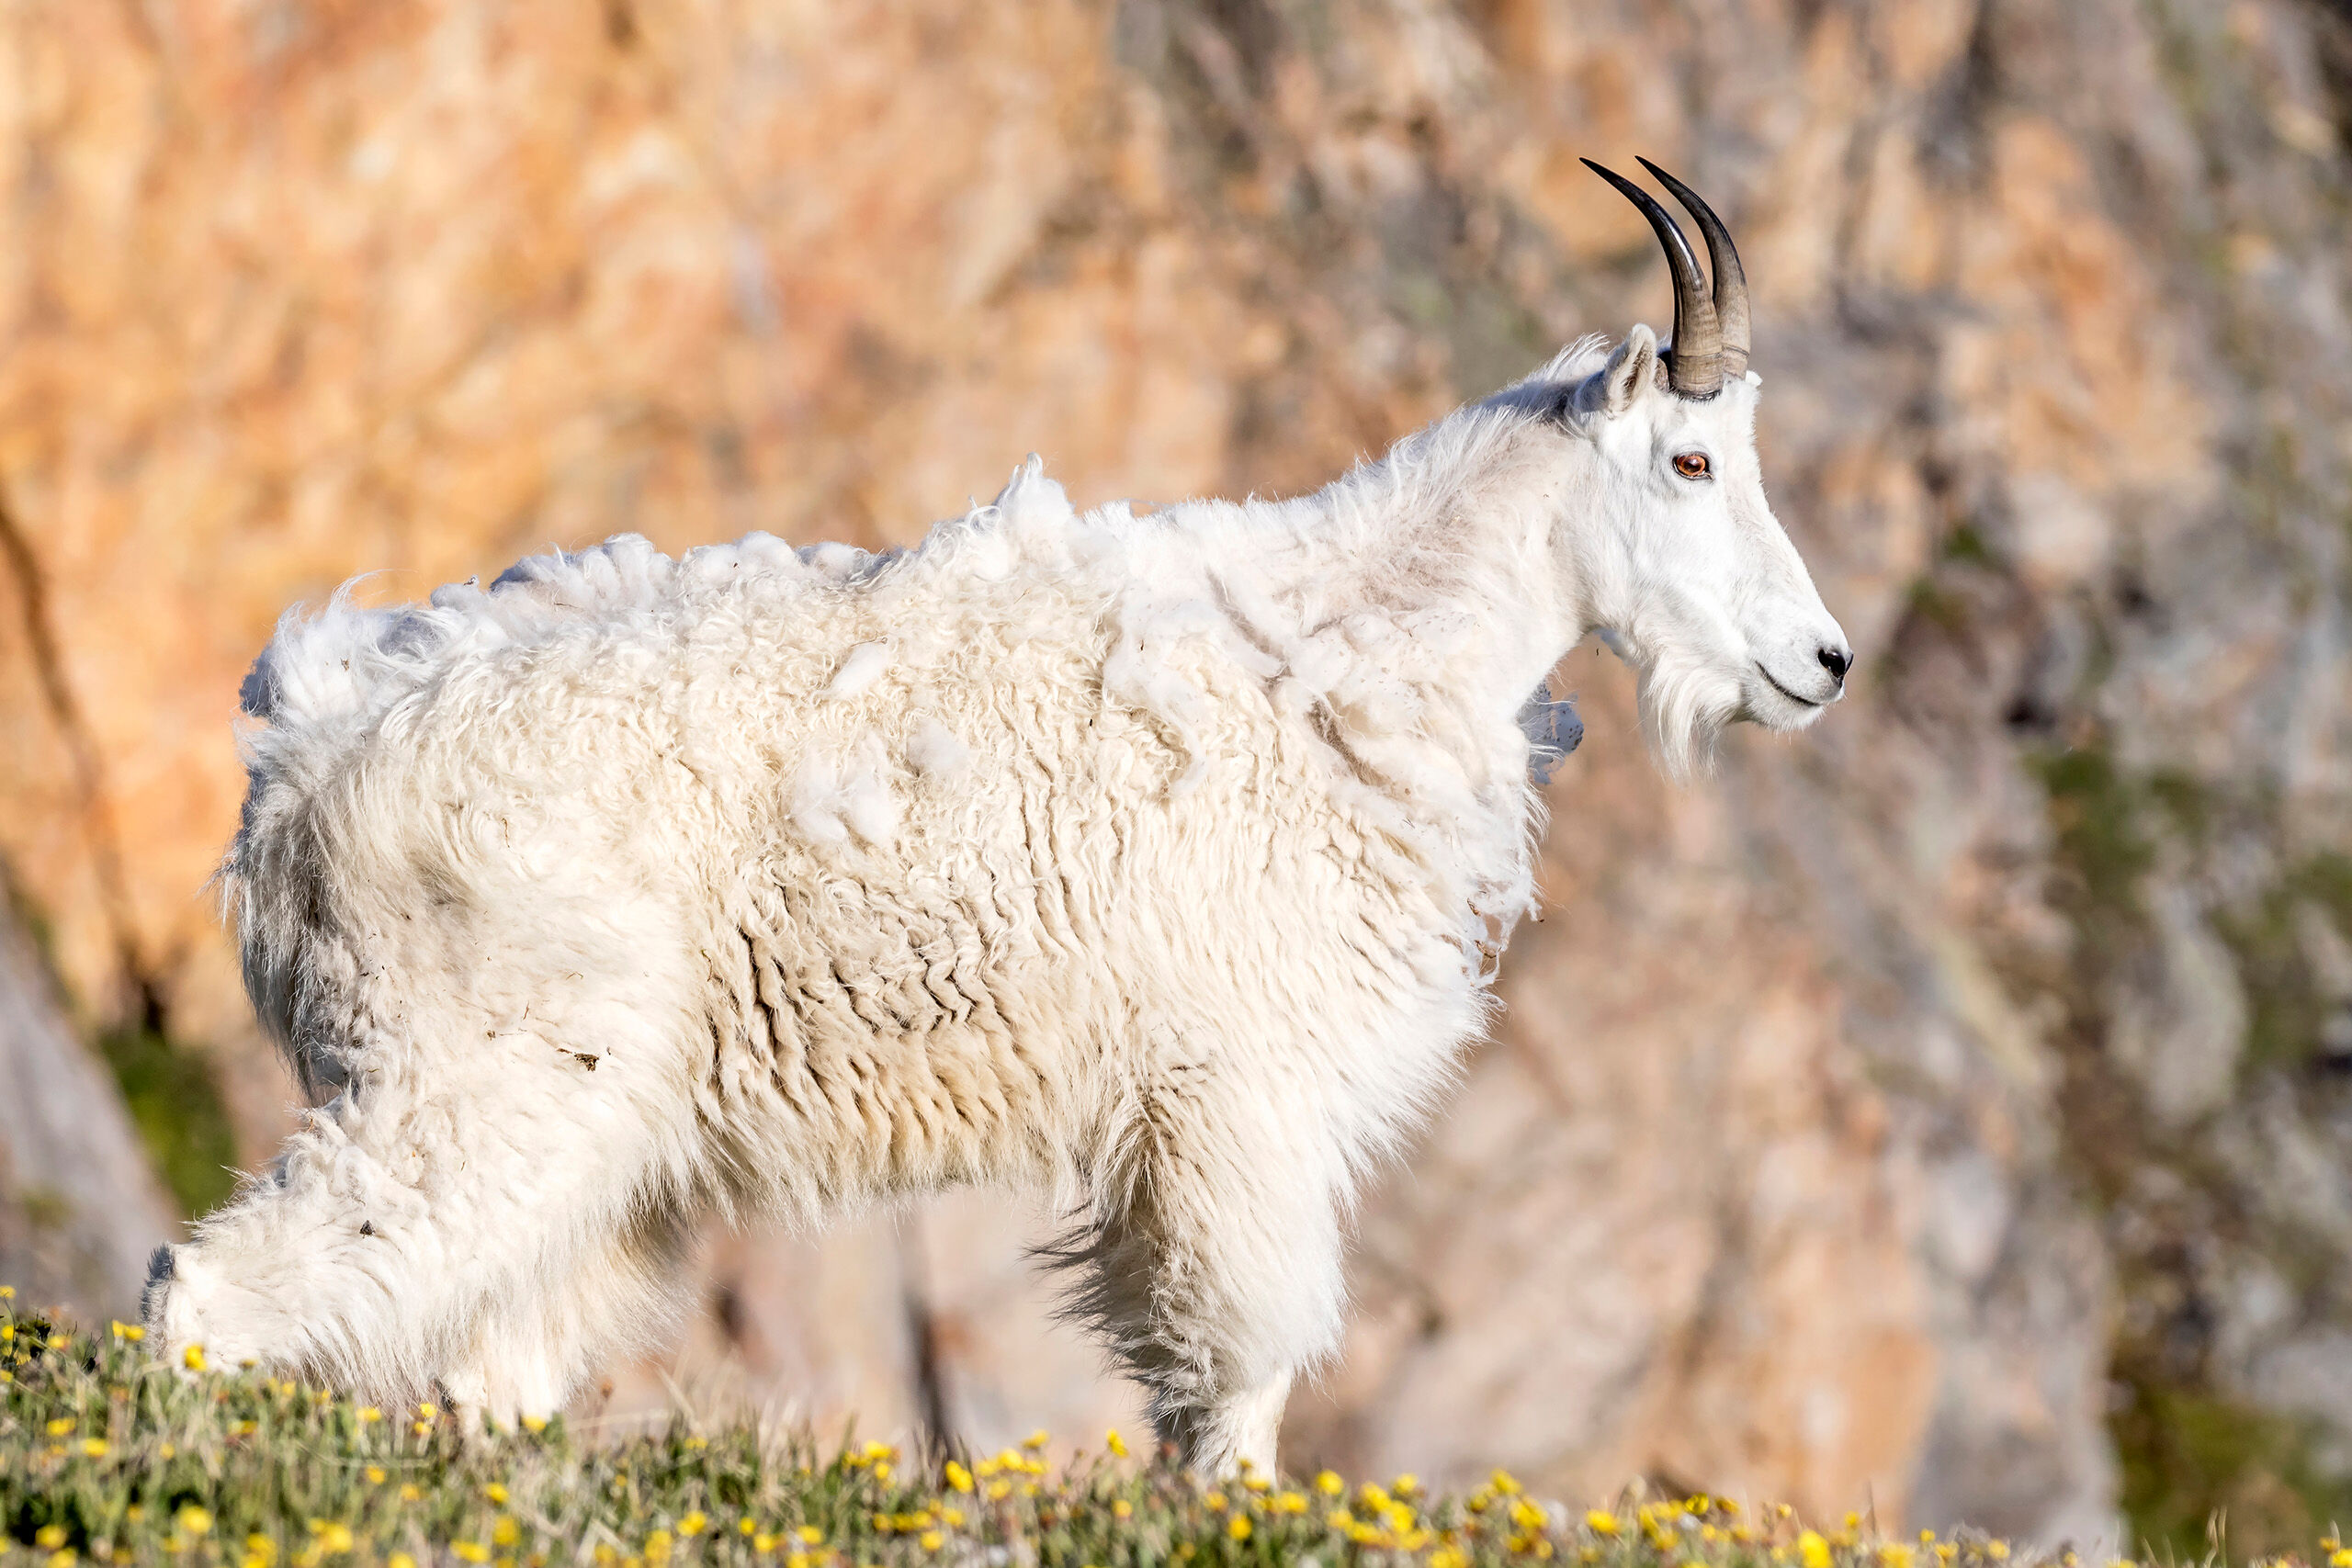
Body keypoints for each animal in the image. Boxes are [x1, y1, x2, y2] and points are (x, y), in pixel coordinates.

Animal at [145, 161, 1849, 1474]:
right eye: (1693, 456)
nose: (1821, 662)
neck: (1365, 639)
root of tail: (297, 766)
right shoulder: (1241, 1090)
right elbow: (1245, 1362)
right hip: (475, 1071)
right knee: (215, 1289)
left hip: (584, 1140)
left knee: (483, 1362)